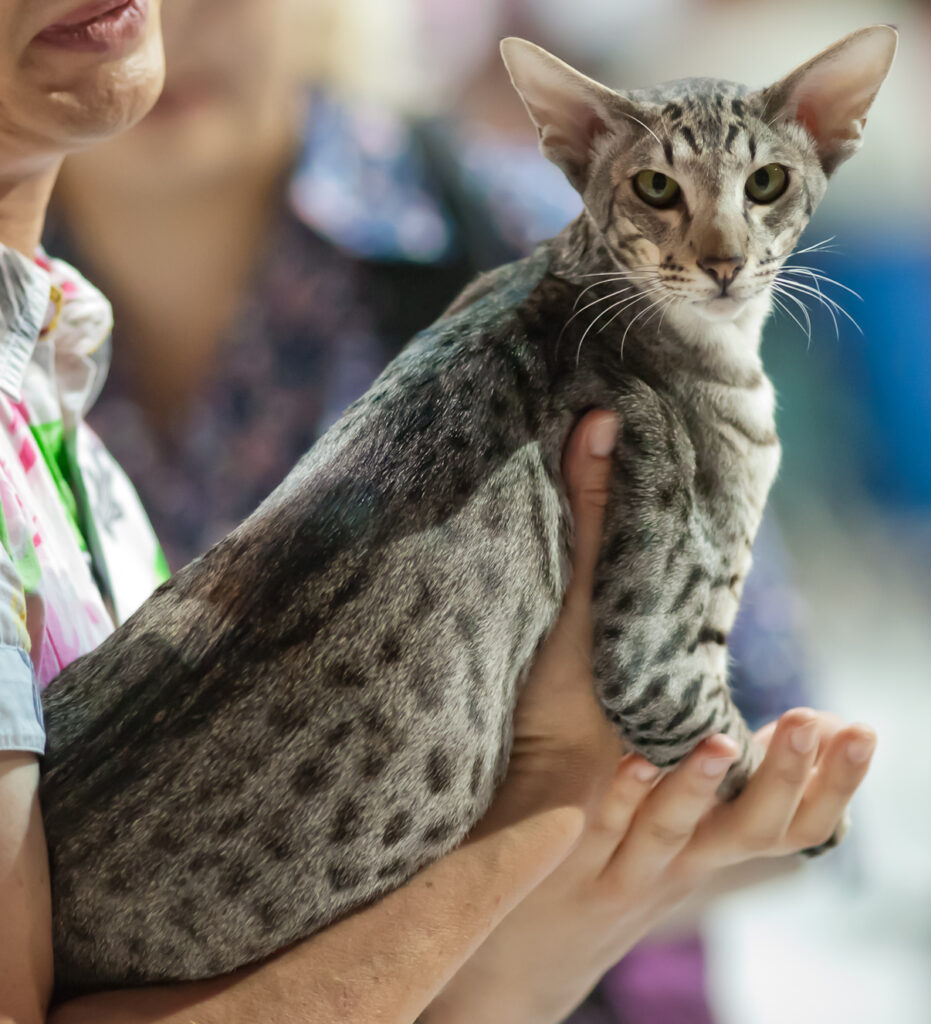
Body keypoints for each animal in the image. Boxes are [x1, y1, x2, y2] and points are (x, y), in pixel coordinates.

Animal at [40, 26, 896, 997]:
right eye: (654, 188)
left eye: (766, 183)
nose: (721, 262)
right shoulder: (656, 661)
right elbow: (714, 730)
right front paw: (813, 817)